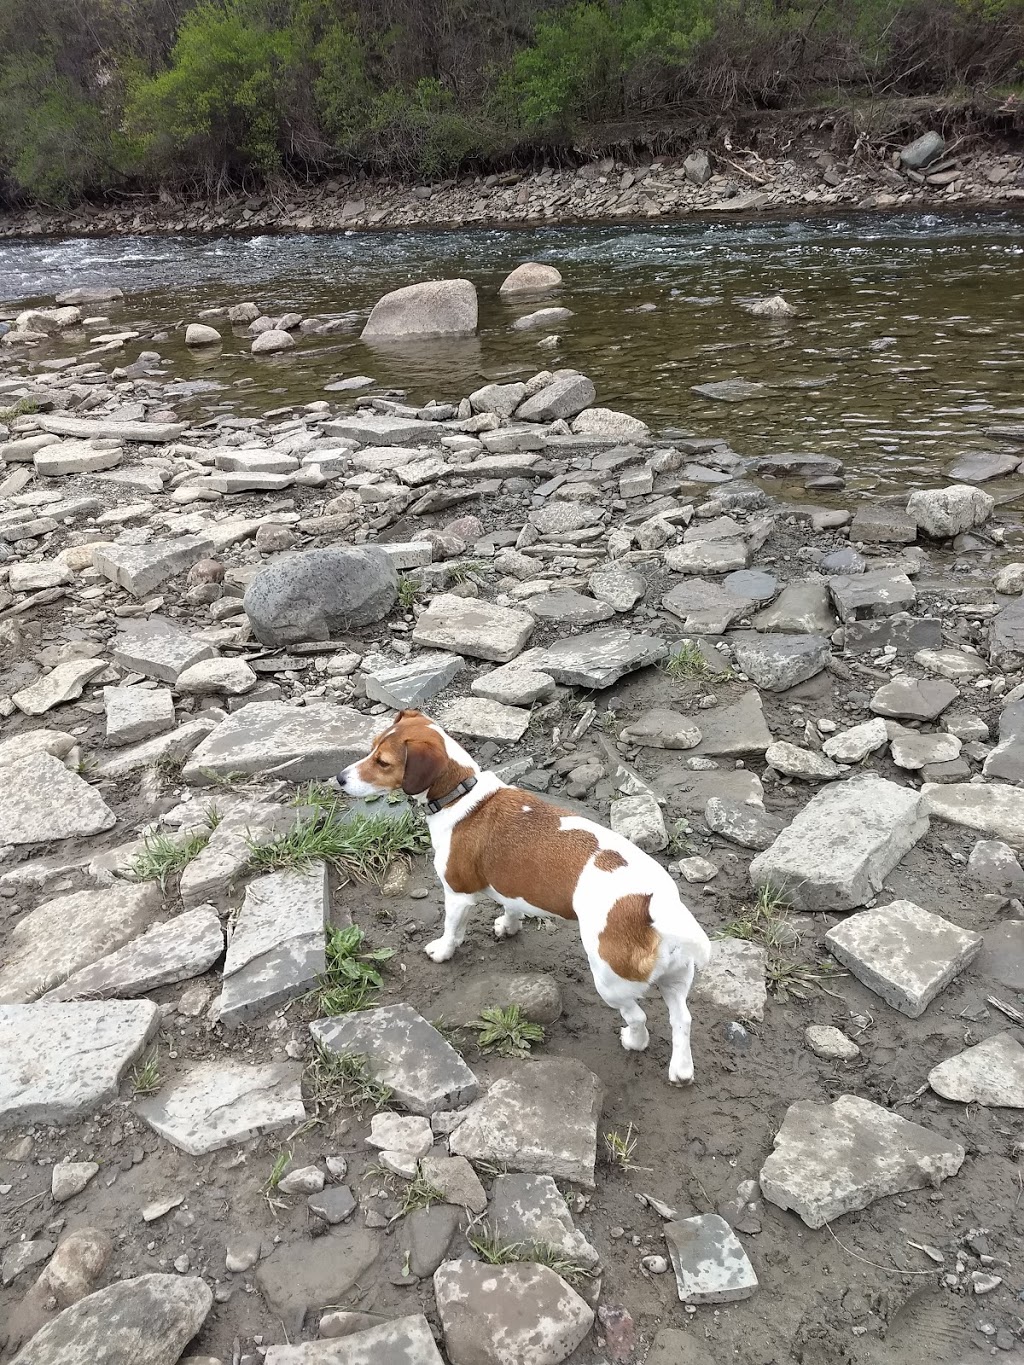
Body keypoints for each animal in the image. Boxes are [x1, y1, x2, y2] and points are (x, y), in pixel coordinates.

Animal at [341, 709, 709, 1081]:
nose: (340, 778)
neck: (462, 795)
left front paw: (443, 951)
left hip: (610, 983)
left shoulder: (457, 894)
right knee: (683, 1019)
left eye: (383, 762)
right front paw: (509, 926)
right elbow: (511, 907)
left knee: (638, 1016)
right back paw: (681, 1069)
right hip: (675, 978)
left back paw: (634, 1041)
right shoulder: (511, 886)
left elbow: (452, 931)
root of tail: (651, 904)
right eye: (371, 748)